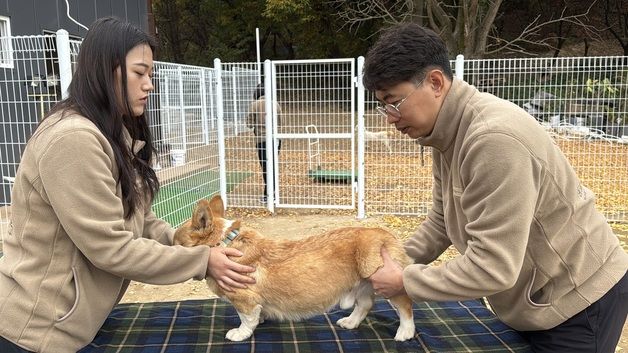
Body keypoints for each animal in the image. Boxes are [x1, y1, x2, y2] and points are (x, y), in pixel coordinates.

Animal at [174, 195, 414, 340]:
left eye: (176, 244)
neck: (224, 242)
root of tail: (386, 234)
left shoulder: (244, 300)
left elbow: (246, 319)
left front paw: (240, 333)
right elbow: (257, 315)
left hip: (382, 278)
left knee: (405, 305)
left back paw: (405, 333)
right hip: (363, 284)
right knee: (364, 305)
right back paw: (350, 322)